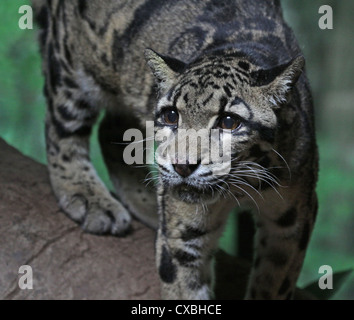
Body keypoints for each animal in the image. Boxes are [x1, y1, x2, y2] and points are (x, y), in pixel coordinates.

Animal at [32, 0, 318, 300]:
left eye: (229, 121)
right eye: (171, 116)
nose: (182, 165)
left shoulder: (293, 218)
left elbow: (274, 283)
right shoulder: (184, 238)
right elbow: (185, 289)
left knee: (110, 130)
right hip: (69, 66)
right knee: (61, 126)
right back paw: (90, 199)